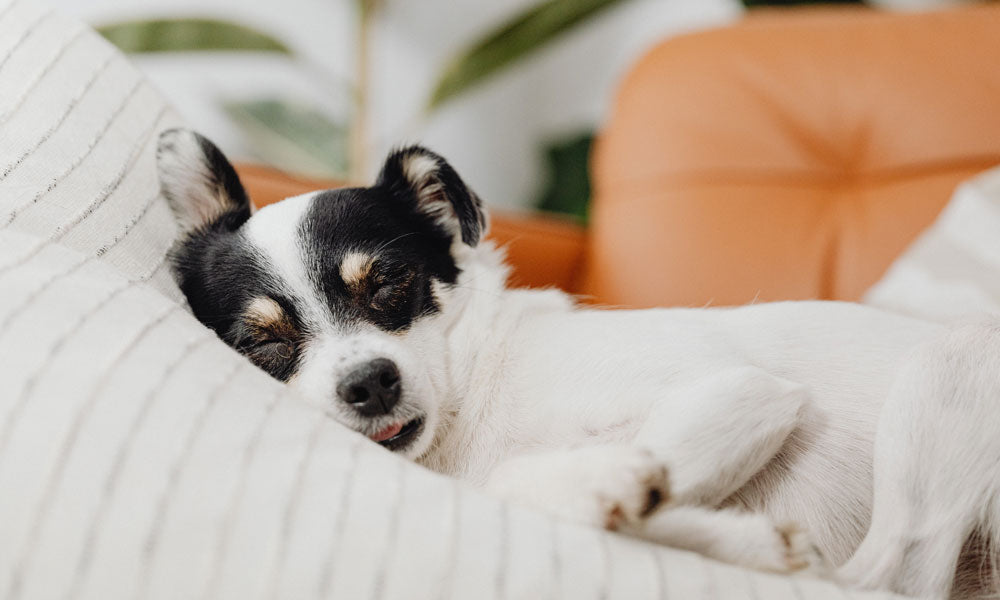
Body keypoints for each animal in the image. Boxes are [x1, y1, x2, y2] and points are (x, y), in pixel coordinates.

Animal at [156, 127, 1000, 600]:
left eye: (391, 282)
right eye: (262, 340)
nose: (369, 384)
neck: (475, 402)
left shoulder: (742, 392)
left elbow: (521, 480)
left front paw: (616, 485)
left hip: (949, 362)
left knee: (887, 578)